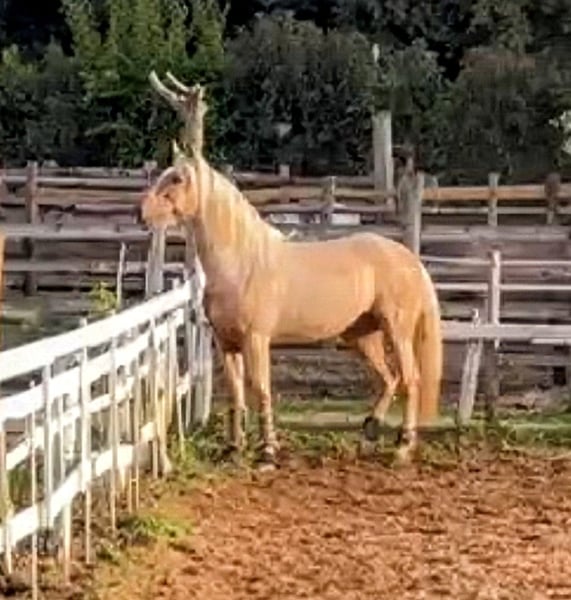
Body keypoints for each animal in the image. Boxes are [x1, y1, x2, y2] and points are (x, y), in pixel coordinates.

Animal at [140, 148, 443, 467]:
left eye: (177, 178)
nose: (141, 213)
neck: (243, 262)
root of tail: (409, 259)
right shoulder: (227, 344)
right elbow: (236, 394)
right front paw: (233, 450)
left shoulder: (256, 340)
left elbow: (261, 390)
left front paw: (267, 453)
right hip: (361, 335)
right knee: (390, 379)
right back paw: (368, 436)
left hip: (397, 333)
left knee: (410, 380)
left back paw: (402, 449)